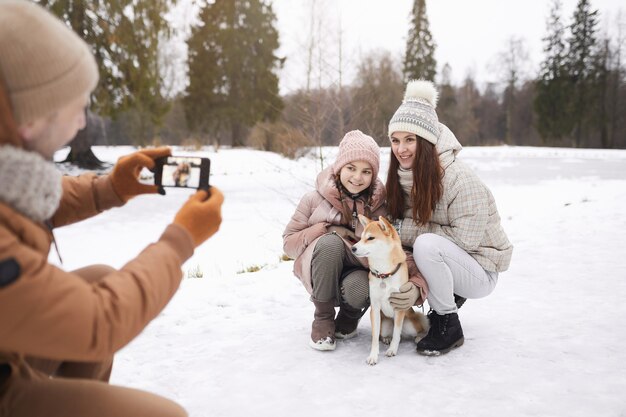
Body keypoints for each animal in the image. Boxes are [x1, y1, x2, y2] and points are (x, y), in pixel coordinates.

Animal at [348, 214, 426, 364]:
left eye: (370, 238)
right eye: (361, 237)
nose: (352, 248)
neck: (384, 274)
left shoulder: (399, 306)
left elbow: (397, 333)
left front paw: (392, 350)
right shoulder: (375, 307)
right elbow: (374, 337)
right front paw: (373, 355)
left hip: (410, 323)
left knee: (413, 331)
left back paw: (419, 336)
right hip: (384, 325)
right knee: (385, 333)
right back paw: (386, 338)